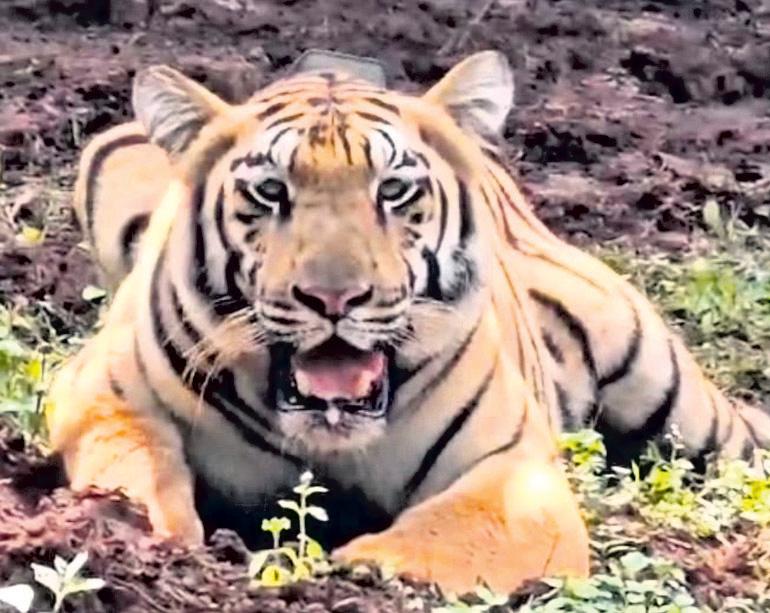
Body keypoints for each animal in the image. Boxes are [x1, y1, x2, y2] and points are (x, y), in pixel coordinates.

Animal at [48, 50, 770, 593]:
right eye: (271, 192)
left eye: (393, 191)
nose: (333, 298)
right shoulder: (101, 393)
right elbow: (131, 471)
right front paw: (140, 538)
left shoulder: (516, 466)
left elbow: (459, 532)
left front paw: (354, 571)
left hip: (669, 391)